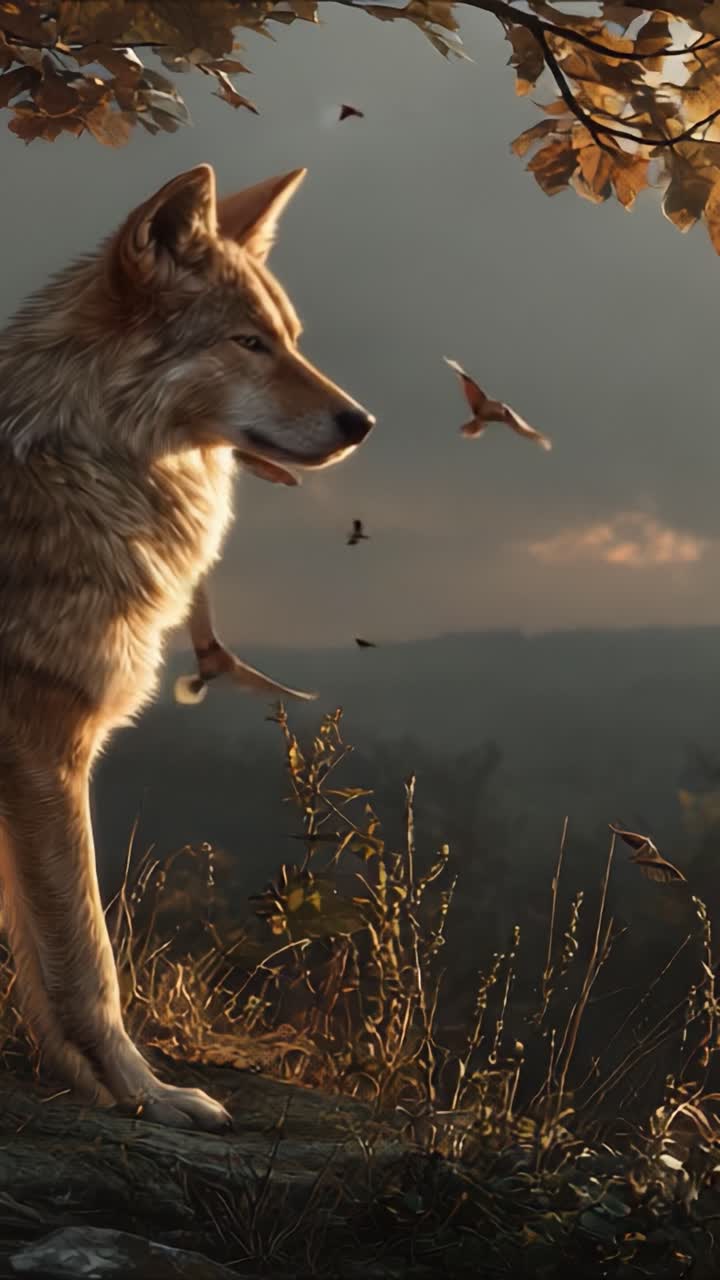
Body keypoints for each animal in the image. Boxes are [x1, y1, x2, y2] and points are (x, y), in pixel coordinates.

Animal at [0, 164, 374, 1131]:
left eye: (290, 340)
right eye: (248, 343)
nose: (362, 421)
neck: (79, 459)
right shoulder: (45, 748)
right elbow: (86, 961)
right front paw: (144, 1095)